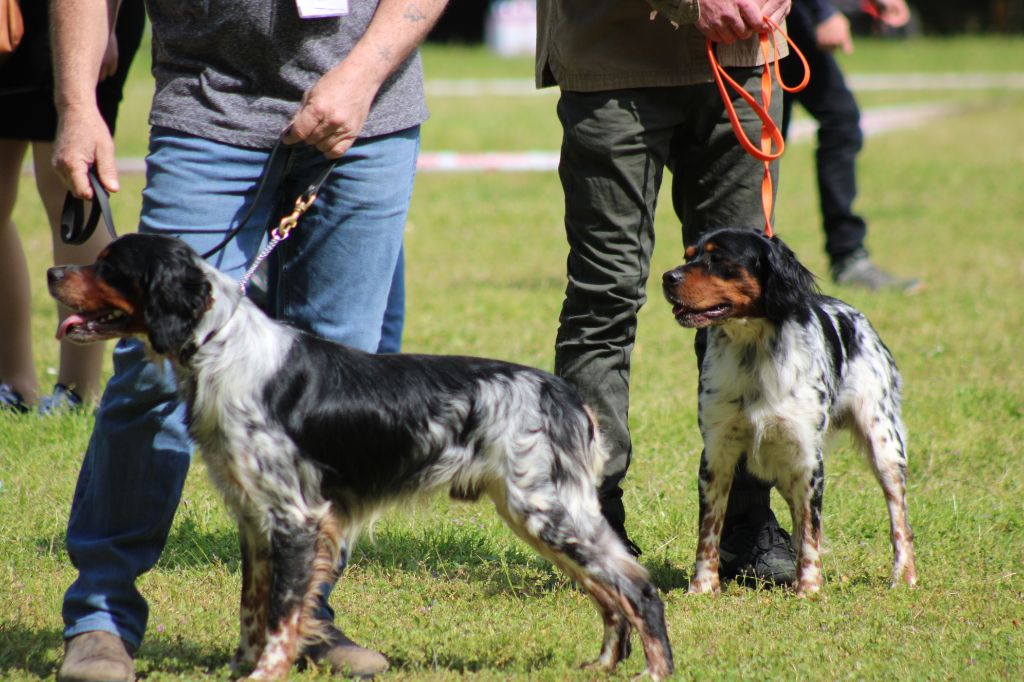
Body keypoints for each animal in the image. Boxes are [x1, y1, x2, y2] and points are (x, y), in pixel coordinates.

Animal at [48, 235, 675, 679]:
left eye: (109, 265)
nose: (54, 272)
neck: (224, 350)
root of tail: (566, 395)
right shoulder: (254, 518)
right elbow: (253, 606)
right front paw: (242, 667)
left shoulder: (296, 517)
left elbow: (281, 615)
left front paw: (265, 673)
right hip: (539, 516)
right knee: (608, 592)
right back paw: (601, 666)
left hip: (548, 512)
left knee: (637, 588)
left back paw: (655, 671)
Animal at [663, 228, 921, 593]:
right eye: (688, 256)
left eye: (718, 259)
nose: (667, 277)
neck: (754, 352)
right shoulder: (716, 453)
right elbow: (709, 530)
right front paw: (702, 587)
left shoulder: (807, 457)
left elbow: (812, 530)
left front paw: (809, 588)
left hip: (885, 447)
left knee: (899, 521)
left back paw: (904, 576)